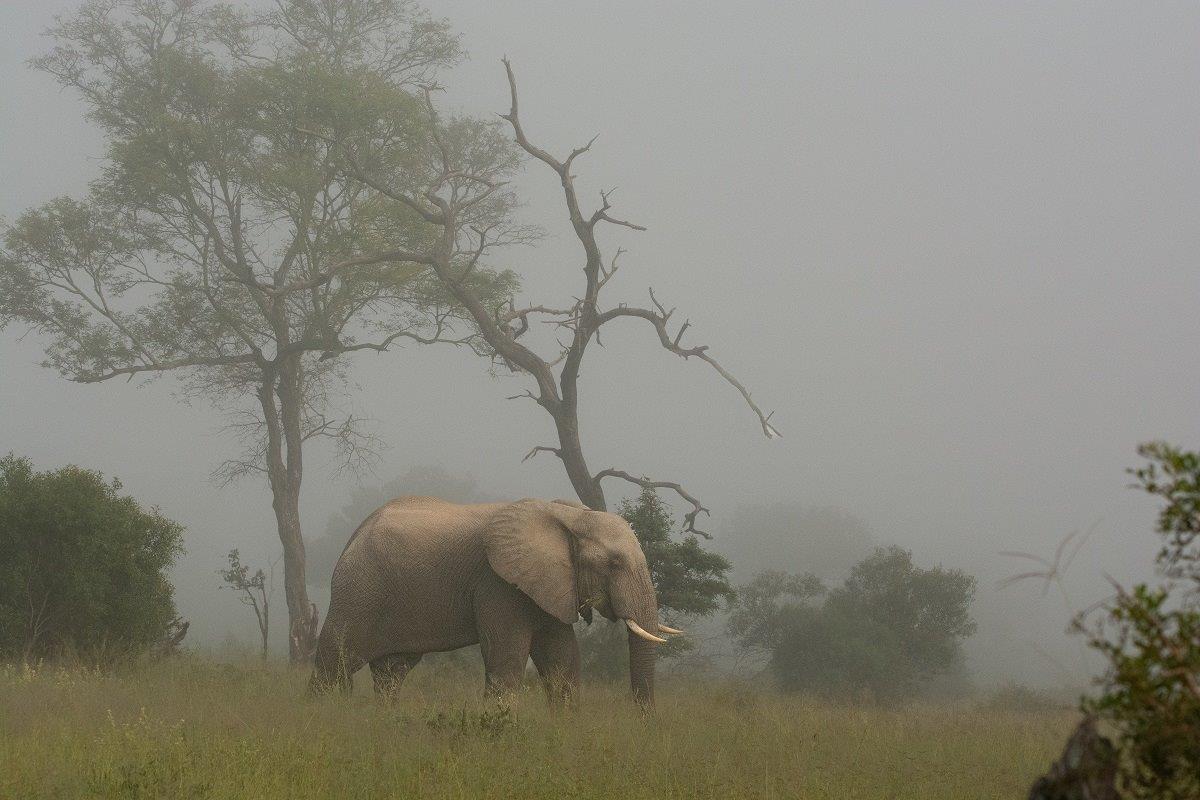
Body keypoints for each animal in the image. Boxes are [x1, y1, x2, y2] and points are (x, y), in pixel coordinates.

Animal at [309, 494, 686, 705]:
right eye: (614, 563)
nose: (642, 719)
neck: (569, 516)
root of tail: (354, 536)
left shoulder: (548, 583)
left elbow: (562, 658)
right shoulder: (498, 582)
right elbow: (506, 657)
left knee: (392, 671)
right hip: (359, 590)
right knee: (336, 662)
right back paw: (325, 717)